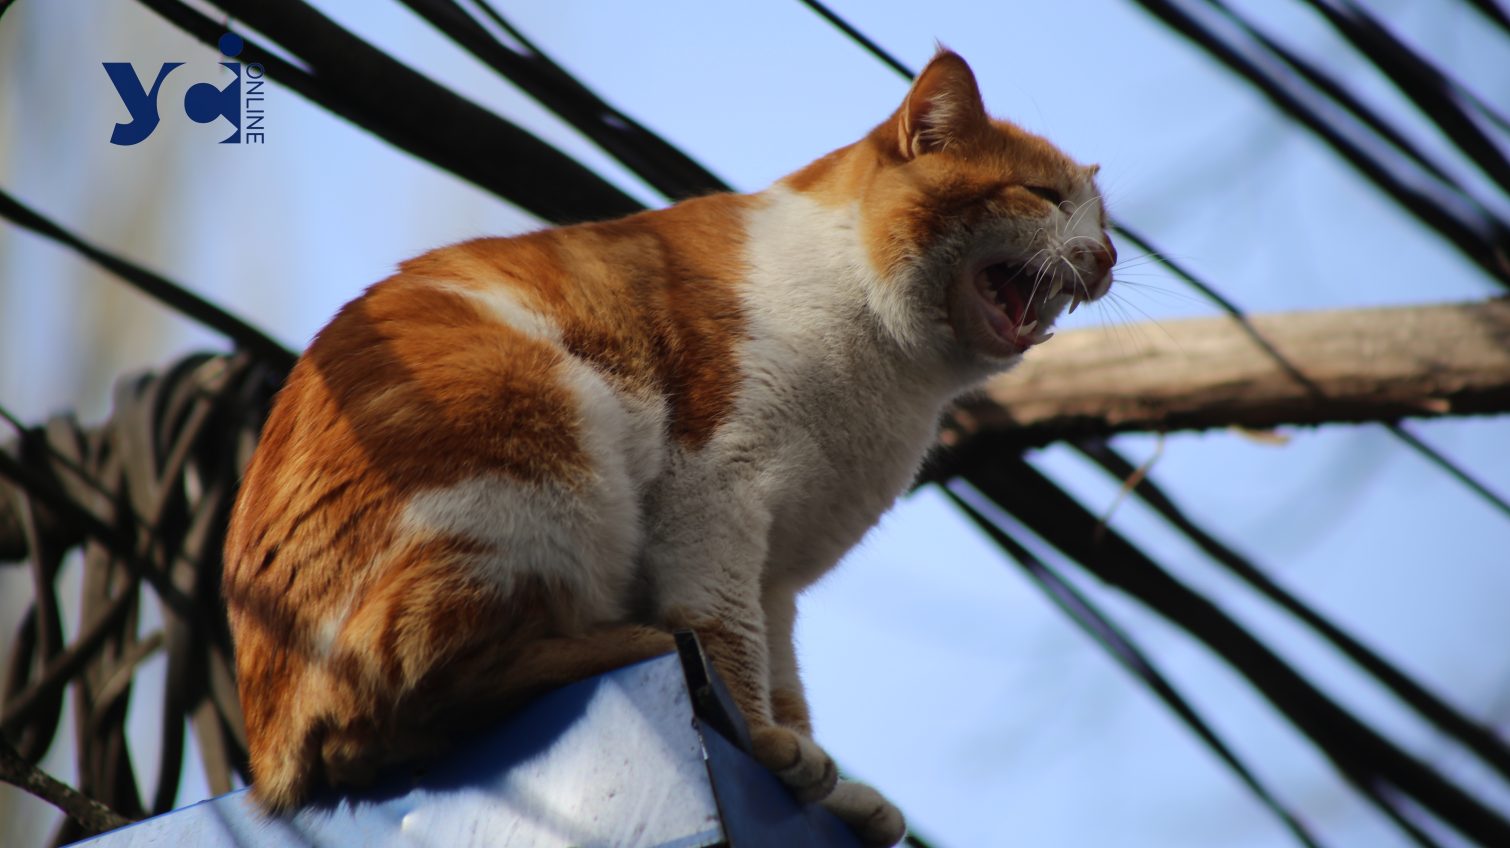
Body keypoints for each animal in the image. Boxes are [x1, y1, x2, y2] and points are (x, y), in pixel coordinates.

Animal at [223, 49, 1117, 838]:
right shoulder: (715, 493)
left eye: (1105, 225)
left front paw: (824, 787)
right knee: (427, 686)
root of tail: (270, 764)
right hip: (537, 424)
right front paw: (763, 739)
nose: (1108, 257)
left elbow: (783, 674)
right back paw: (634, 642)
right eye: (1042, 196)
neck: (895, 375)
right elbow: (728, 638)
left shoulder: (778, 576)